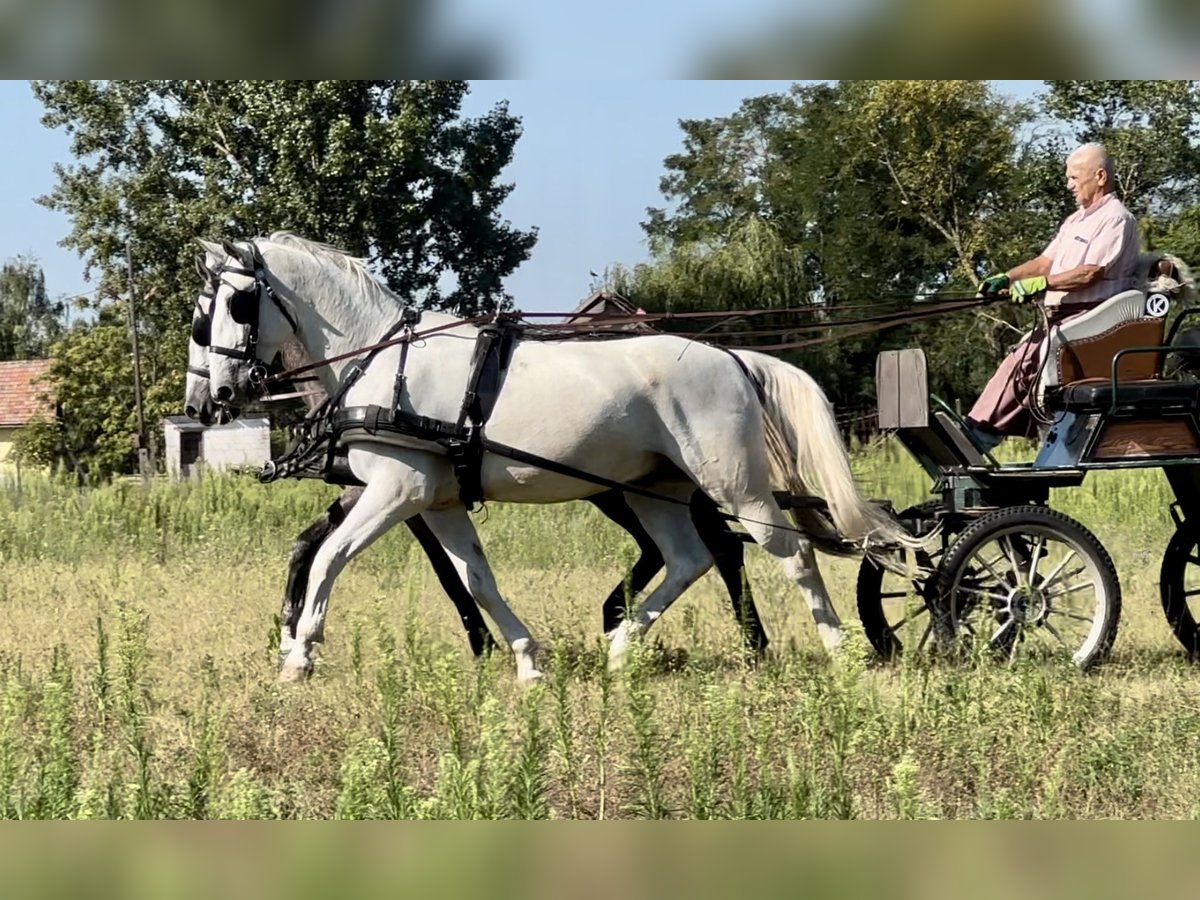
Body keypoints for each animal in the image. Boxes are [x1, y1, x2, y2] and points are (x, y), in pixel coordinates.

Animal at [206, 232, 912, 681]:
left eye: (234, 302)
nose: (217, 394)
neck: (384, 360)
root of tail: (733, 358)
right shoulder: (436, 501)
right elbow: (475, 579)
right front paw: (526, 660)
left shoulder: (395, 492)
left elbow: (329, 555)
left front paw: (300, 653)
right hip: (655, 490)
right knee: (692, 558)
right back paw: (622, 648)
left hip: (732, 483)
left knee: (788, 553)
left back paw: (840, 649)